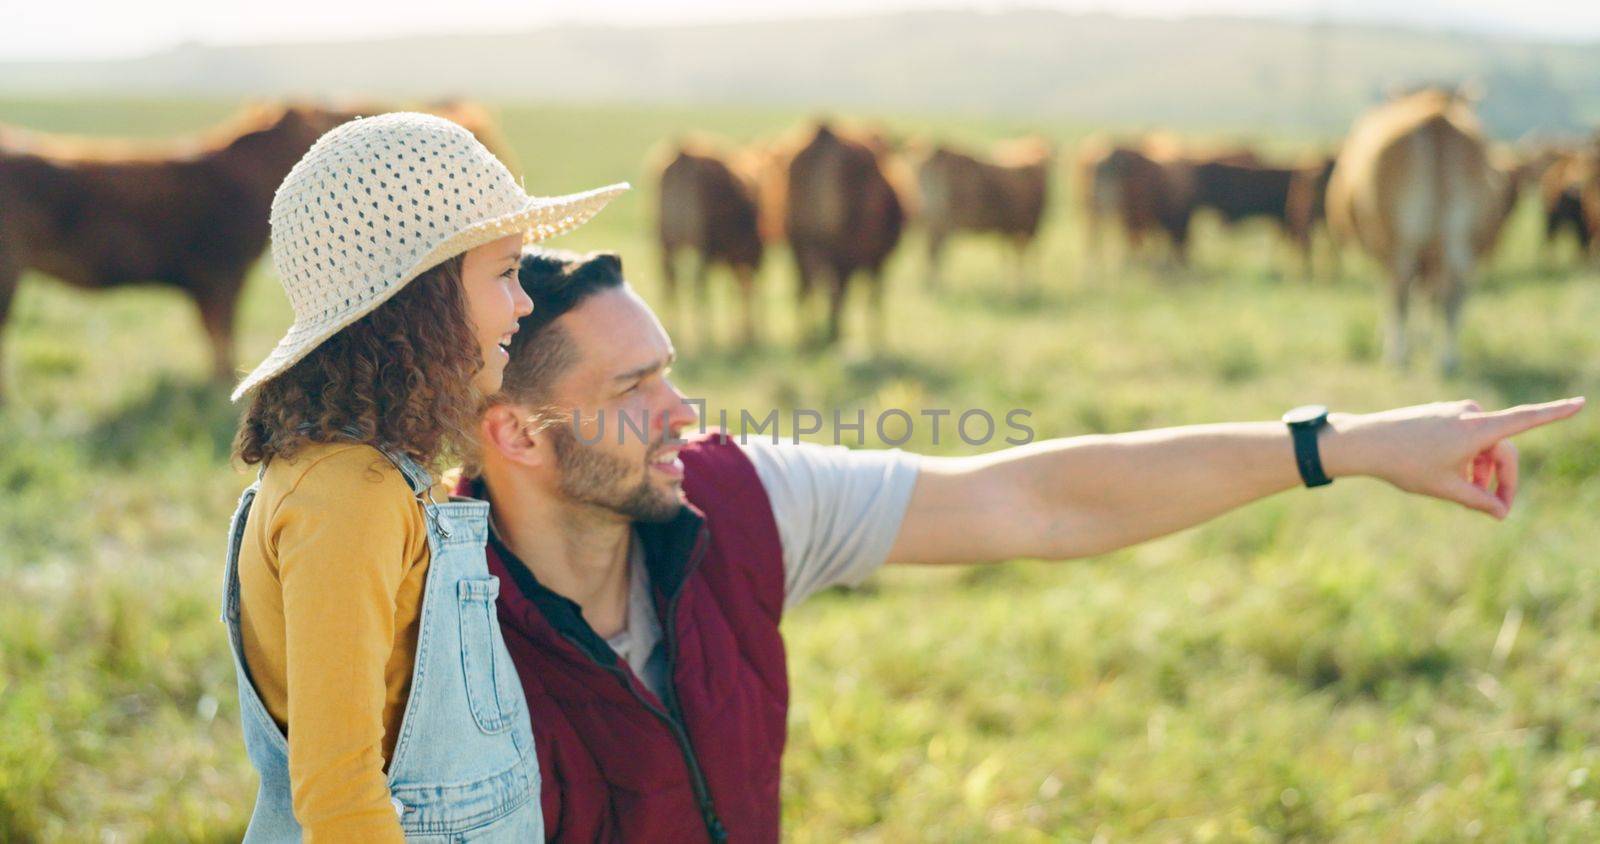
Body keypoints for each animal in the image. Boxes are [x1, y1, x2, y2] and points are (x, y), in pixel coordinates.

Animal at [656, 139, 768, 345]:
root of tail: (683, 156)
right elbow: (742, 288)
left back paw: (674, 329)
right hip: (702, 245)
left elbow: (736, 289)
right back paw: (704, 335)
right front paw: (745, 332)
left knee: (670, 282)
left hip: (666, 242)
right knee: (698, 284)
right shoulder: (740, 254)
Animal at [784, 123, 908, 346]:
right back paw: (832, 334)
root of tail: (825, 140)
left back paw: (808, 338)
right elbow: (874, 297)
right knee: (834, 292)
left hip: (799, 246)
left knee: (805, 289)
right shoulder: (878, 260)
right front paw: (876, 338)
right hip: (841, 255)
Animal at [1331, 88, 1504, 372]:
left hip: (1400, 241)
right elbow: (1428, 296)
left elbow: (1399, 294)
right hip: (1459, 241)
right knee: (1452, 293)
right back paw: (1447, 359)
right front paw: (1422, 339)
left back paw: (1397, 356)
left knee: (1400, 291)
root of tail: (1436, 119)